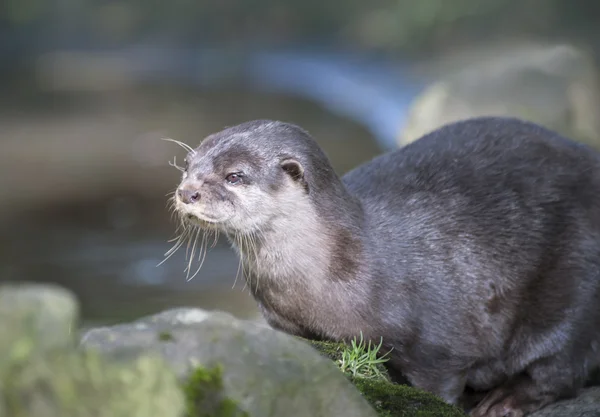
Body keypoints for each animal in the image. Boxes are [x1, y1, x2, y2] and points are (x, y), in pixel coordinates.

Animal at [168, 117, 600, 416]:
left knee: (562, 366)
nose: (187, 192)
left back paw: (504, 399)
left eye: (235, 176)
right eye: (188, 164)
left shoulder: (440, 348)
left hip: (577, 281)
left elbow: (439, 387)